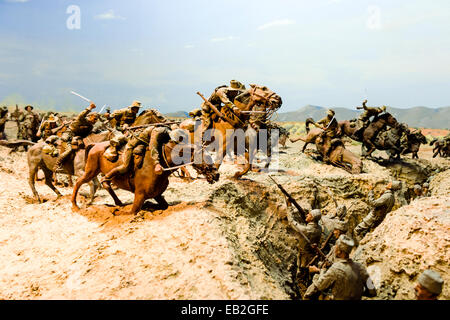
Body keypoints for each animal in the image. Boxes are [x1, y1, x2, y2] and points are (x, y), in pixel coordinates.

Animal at [71, 140, 221, 215]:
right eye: (205, 157)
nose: (216, 174)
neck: (160, 165)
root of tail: (95, 145)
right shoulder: (140, 196)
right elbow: (132, 212)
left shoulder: (157, 195)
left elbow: (165, 206)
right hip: (91, 171)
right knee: (79, 182)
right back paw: (75, 205)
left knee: (105, 184)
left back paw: (119, 203)